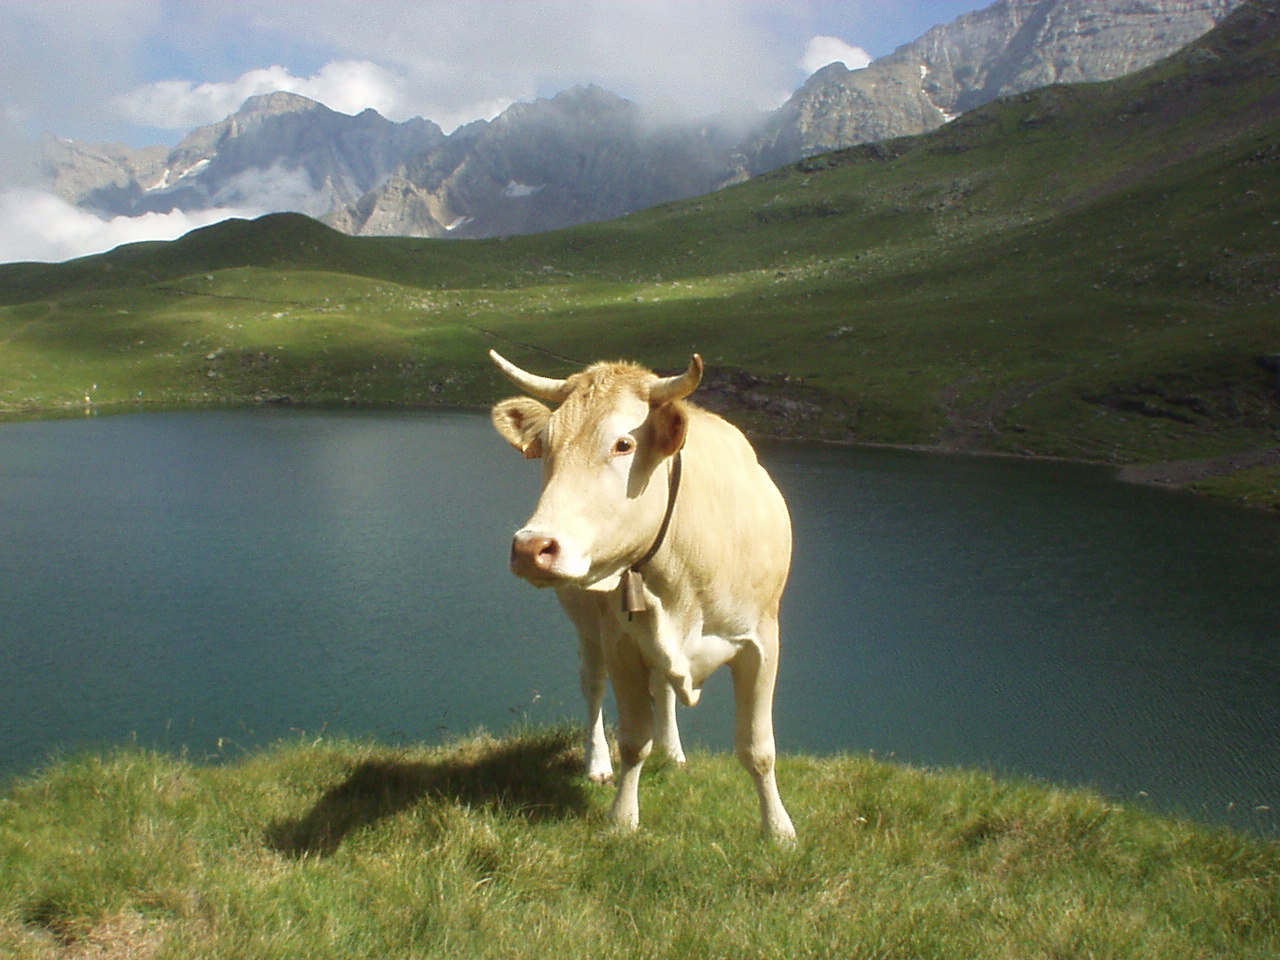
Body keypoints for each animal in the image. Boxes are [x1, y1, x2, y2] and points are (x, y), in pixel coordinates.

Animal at [486, 350, 793, 839]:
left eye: (623, 444)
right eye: (546, 445)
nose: (532, 548)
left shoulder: (761, 643)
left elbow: (758, 748)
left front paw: (779, 829)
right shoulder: (622, 644)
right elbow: (632, 741)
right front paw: (622, 818)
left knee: (663, 688)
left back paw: (674, 753)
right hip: (588, 629)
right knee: (592, 686)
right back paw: (597, 764)